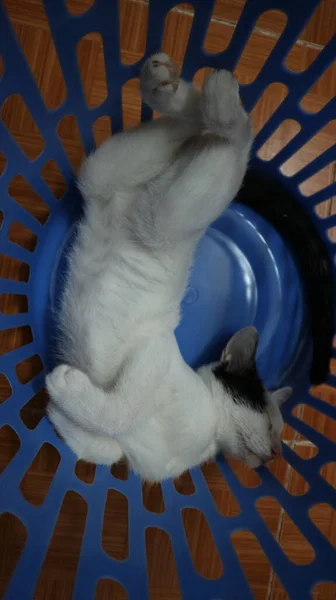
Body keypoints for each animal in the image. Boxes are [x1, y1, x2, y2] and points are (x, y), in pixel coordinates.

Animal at [46, 52, 292, 482]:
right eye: (269, 423)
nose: (277, 453)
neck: (208, 434)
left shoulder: (123, 452)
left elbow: (106, 448)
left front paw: (58, 408)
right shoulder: (154, 352)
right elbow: (122, 415)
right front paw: (61, 385)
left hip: (105, 173)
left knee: (190, 129)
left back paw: (167, 85)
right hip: (165, 217)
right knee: (236, 141)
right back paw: (218, 98)